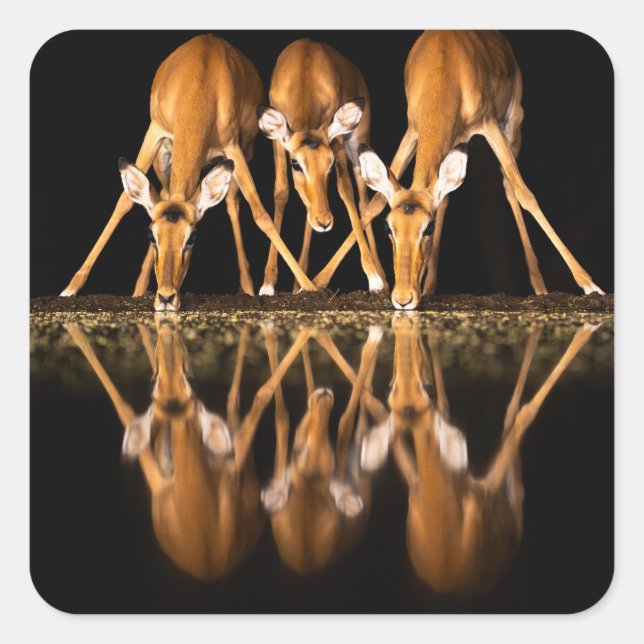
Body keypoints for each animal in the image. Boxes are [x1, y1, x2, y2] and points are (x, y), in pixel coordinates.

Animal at [60, 34, 316, 311]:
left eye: (192, 238)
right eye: (151, 235)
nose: (166, 297)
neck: (200, 84)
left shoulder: (233, 148)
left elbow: (260, 213)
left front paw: (308, 286)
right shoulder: (155, 132)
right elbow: (124, 202)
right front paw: (70, 288)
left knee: (232, 201)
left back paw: (248, 286)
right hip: (164, 158)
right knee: (162, 192)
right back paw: (138, 289)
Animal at [256, 38, 387, 296]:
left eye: (330, 164)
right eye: (295, 163)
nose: (325, 222)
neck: (305, 70)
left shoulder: (336, 140)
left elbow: (345, 190)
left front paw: (374, 279)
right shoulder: (278, 143)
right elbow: (281, 193)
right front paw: (267, 284)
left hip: (357, 142)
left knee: (364, 199)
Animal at [314, 30, 604, 309]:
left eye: (428, 228)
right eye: (389, 227)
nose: (403, 298)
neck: (446, 67)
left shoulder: (489, 124)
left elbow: (526, 195)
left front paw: (590, 285)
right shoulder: (413, 131)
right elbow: (375, 203)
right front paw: (320, 280)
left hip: (512, 125)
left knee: (510, 187)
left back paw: (540, 286)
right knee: (447, 196)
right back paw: (429, 286)